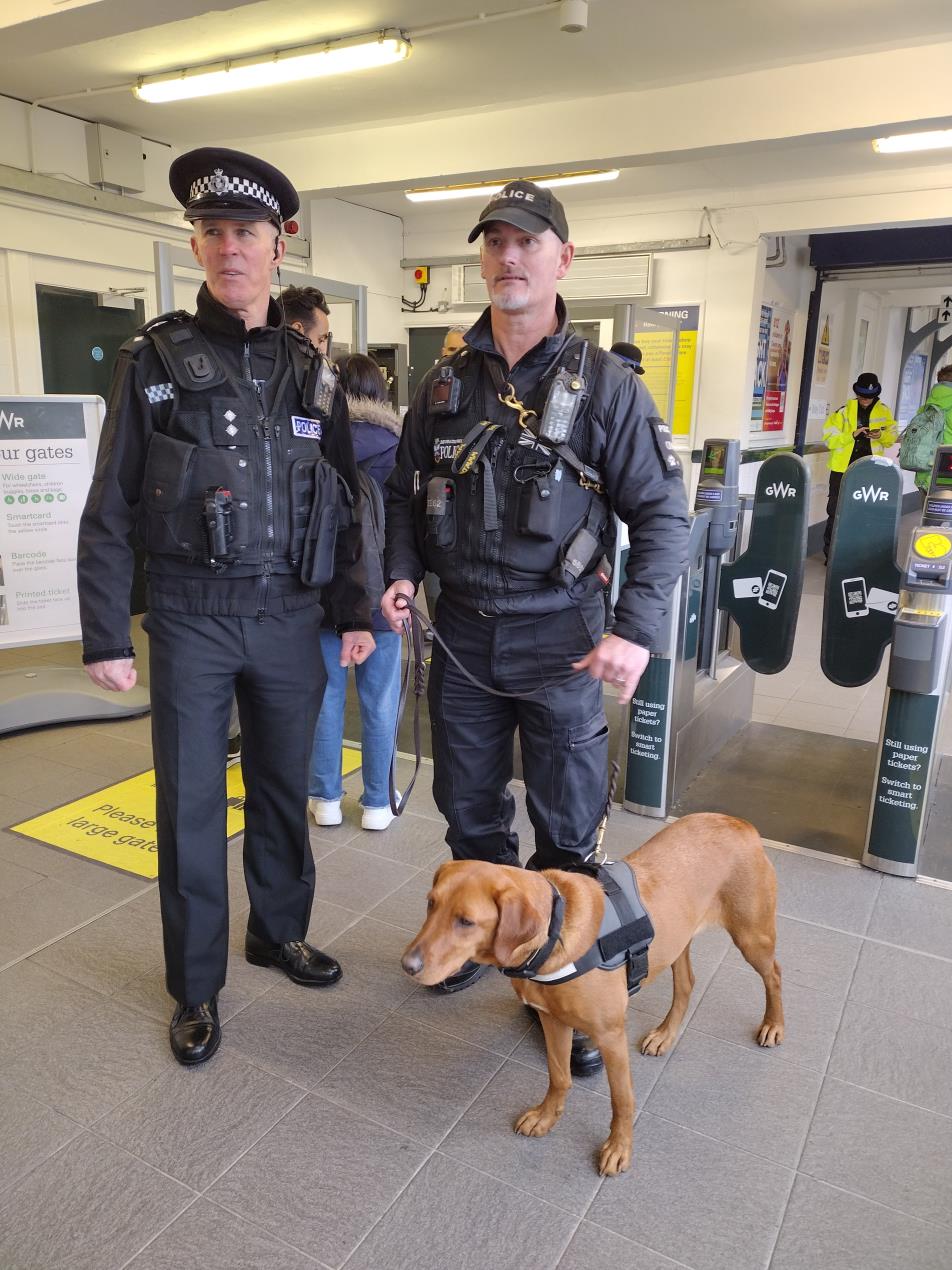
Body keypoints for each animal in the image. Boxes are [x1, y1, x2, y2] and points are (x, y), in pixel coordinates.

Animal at [403, 817, 781, 1173]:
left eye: (466, 921)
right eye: (430, 904)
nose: (408, 965)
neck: (555, 934)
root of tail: (741, 824)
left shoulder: (611, 1036)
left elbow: (622, 1100)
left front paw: (619, 1147)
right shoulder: (553, 1020)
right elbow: (559, 1077)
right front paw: (547, 1117)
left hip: (752, 936)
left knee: (774, 975)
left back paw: (773, 1025)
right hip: (678, 940)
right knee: (687, 983)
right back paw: (665, 1035)